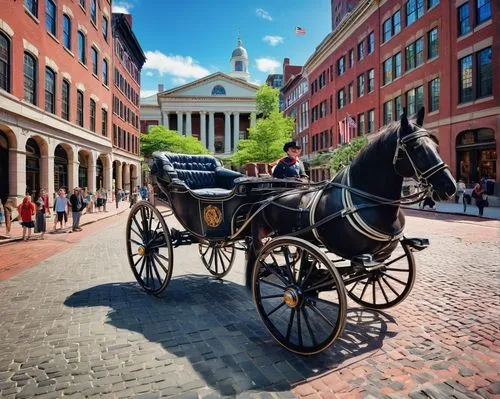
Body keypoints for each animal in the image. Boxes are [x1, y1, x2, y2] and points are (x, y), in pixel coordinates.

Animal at [246, 108, 458, 286]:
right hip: (261, 234)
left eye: (436, 144)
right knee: (258, 253)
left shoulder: (373, 258)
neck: (369, 199)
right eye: (416, 147)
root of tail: (266, 195)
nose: (450, 186)